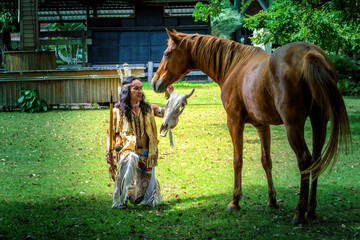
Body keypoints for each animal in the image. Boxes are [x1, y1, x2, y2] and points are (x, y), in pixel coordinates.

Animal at [150, 29, 350, 224]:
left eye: (167, 54)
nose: (155, 82)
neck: (235, 65)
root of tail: (311, 53)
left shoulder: (234, 122)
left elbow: (237, 160)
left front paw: (235, 201)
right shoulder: (263, 126)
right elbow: (266, 161)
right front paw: (272, 200)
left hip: (293, 126)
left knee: (305, 160)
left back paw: (299, 213)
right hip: (319, 121)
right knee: (316, 160)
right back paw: (311, 211)